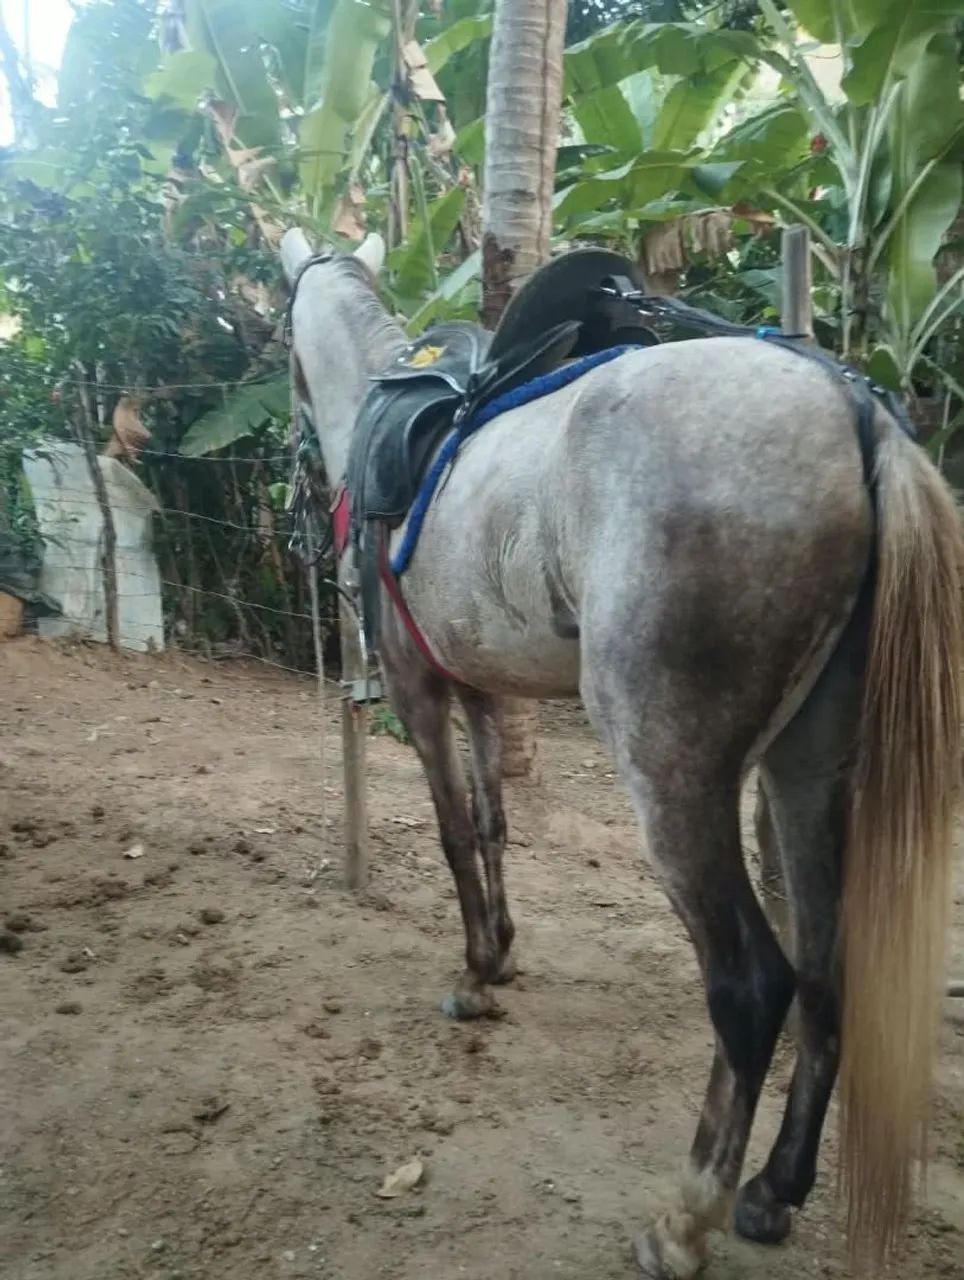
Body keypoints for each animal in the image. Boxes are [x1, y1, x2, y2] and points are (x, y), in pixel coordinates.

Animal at [280, 228, 963, 1278]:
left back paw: (688, 1219)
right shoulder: (481, 690)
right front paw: (501, 957)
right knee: (826, 969)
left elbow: (451, 834)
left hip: (673, 773)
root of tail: (854, 412)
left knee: (752, 986)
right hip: (809, 770)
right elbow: (493, 824)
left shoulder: (419, 691)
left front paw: (473, 977)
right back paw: (773, 1192)